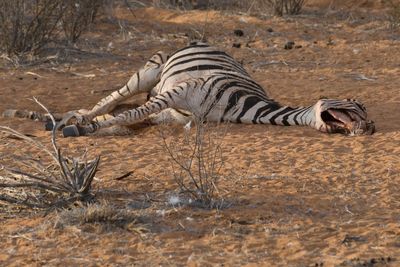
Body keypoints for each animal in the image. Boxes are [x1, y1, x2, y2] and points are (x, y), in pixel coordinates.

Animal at [3, 43, 374, 138]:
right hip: (149, 72)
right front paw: (82, 128)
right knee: (111, 100)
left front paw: (95, 128)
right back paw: (67, 119)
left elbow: (130, 117)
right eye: (357, 105)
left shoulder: (176, 113)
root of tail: (206, 43)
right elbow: (128, 112)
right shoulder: (177, 94)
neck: (242, 105)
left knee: (114, 107)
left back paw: (56, 117)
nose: (370, 128)